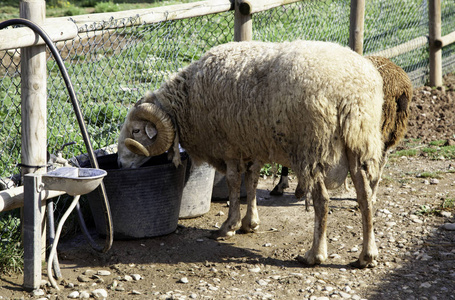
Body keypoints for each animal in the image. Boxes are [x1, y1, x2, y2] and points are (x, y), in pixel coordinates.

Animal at [117, 39, 384, 268]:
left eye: (136, 130)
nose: (119, 164)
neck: (187, 103)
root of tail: (351, 92)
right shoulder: (251, 143)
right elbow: (252, 180)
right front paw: (250, 223)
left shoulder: (229, 146)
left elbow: (235, 183)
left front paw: (228, 226)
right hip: (359, 143)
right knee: (365, 198)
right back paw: (367, 256)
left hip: (311, 148)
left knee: (322, 200)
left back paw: (314, 255)